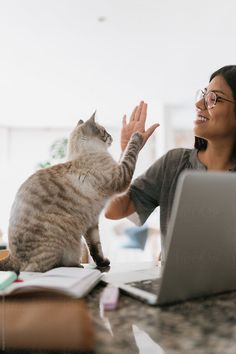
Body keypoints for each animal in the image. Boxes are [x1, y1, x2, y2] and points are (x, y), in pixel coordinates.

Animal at [0, 112, 143, 272]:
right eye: (105, 132)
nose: (112, 136)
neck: (82, 154)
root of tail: (12, 257)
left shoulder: (92, 222)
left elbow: (95, 248)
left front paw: (103, 263)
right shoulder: (122, 176)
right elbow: (130, 151)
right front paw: (137, 135)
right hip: (65, 245)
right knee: (40, 268)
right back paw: (75, 266)